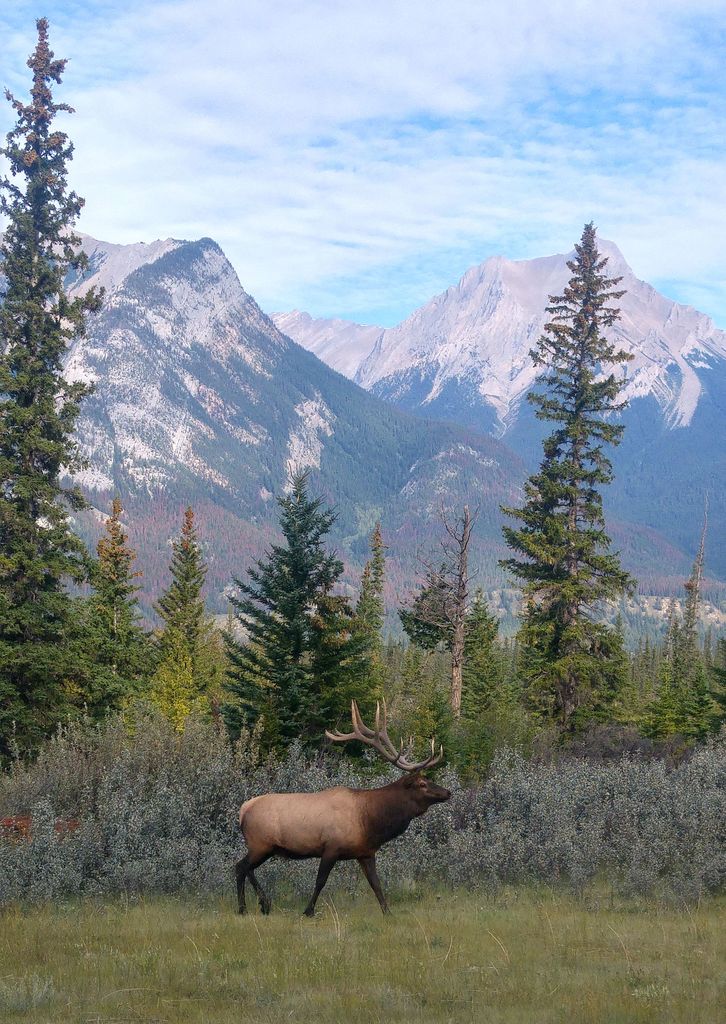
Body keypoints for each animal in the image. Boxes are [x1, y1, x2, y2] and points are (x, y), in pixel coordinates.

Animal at [233, 700, 446, 917]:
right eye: (422, 783)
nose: (448, 792)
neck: (370, 821)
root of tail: (243, 809)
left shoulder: (366, 852)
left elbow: (376, 884)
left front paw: (387, 912)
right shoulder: (331, 847)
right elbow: (320, 881)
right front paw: (308, 910)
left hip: (264, 847)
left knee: (246, 868)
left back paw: (262, 903)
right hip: (261, 844)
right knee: (240, 867)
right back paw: (245, 907)